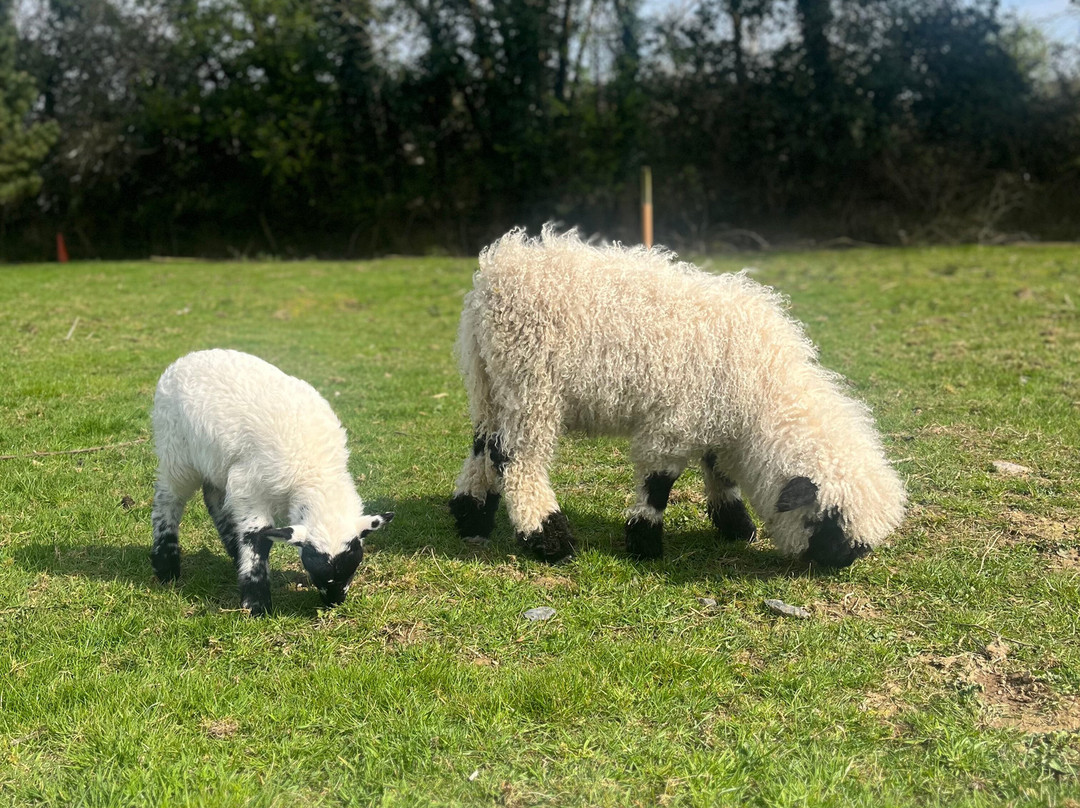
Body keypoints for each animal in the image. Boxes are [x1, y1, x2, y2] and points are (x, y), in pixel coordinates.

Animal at [150, 349, 393, 615]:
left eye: (353, 567)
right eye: (313, 568)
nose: (334, 602)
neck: (313, 472)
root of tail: (186, 357)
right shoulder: (248, 486)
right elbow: (258, 538)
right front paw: (256, 603)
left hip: (216, 461)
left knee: (213, 498)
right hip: (176, 452)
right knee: (168, 500)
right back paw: (166, 565)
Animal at [449, 226, 905, 567]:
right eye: (828, 521)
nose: (845, 561)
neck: (761, 393)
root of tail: (494, 272)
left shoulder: (715, 417)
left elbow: (719, 472)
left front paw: (735, 525)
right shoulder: (674, 421)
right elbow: (659, 483)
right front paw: (645, 543)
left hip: (490, 382)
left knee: (483, 445)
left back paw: (471, 517)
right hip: (532, 382)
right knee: (517, 459)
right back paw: (548, 537)